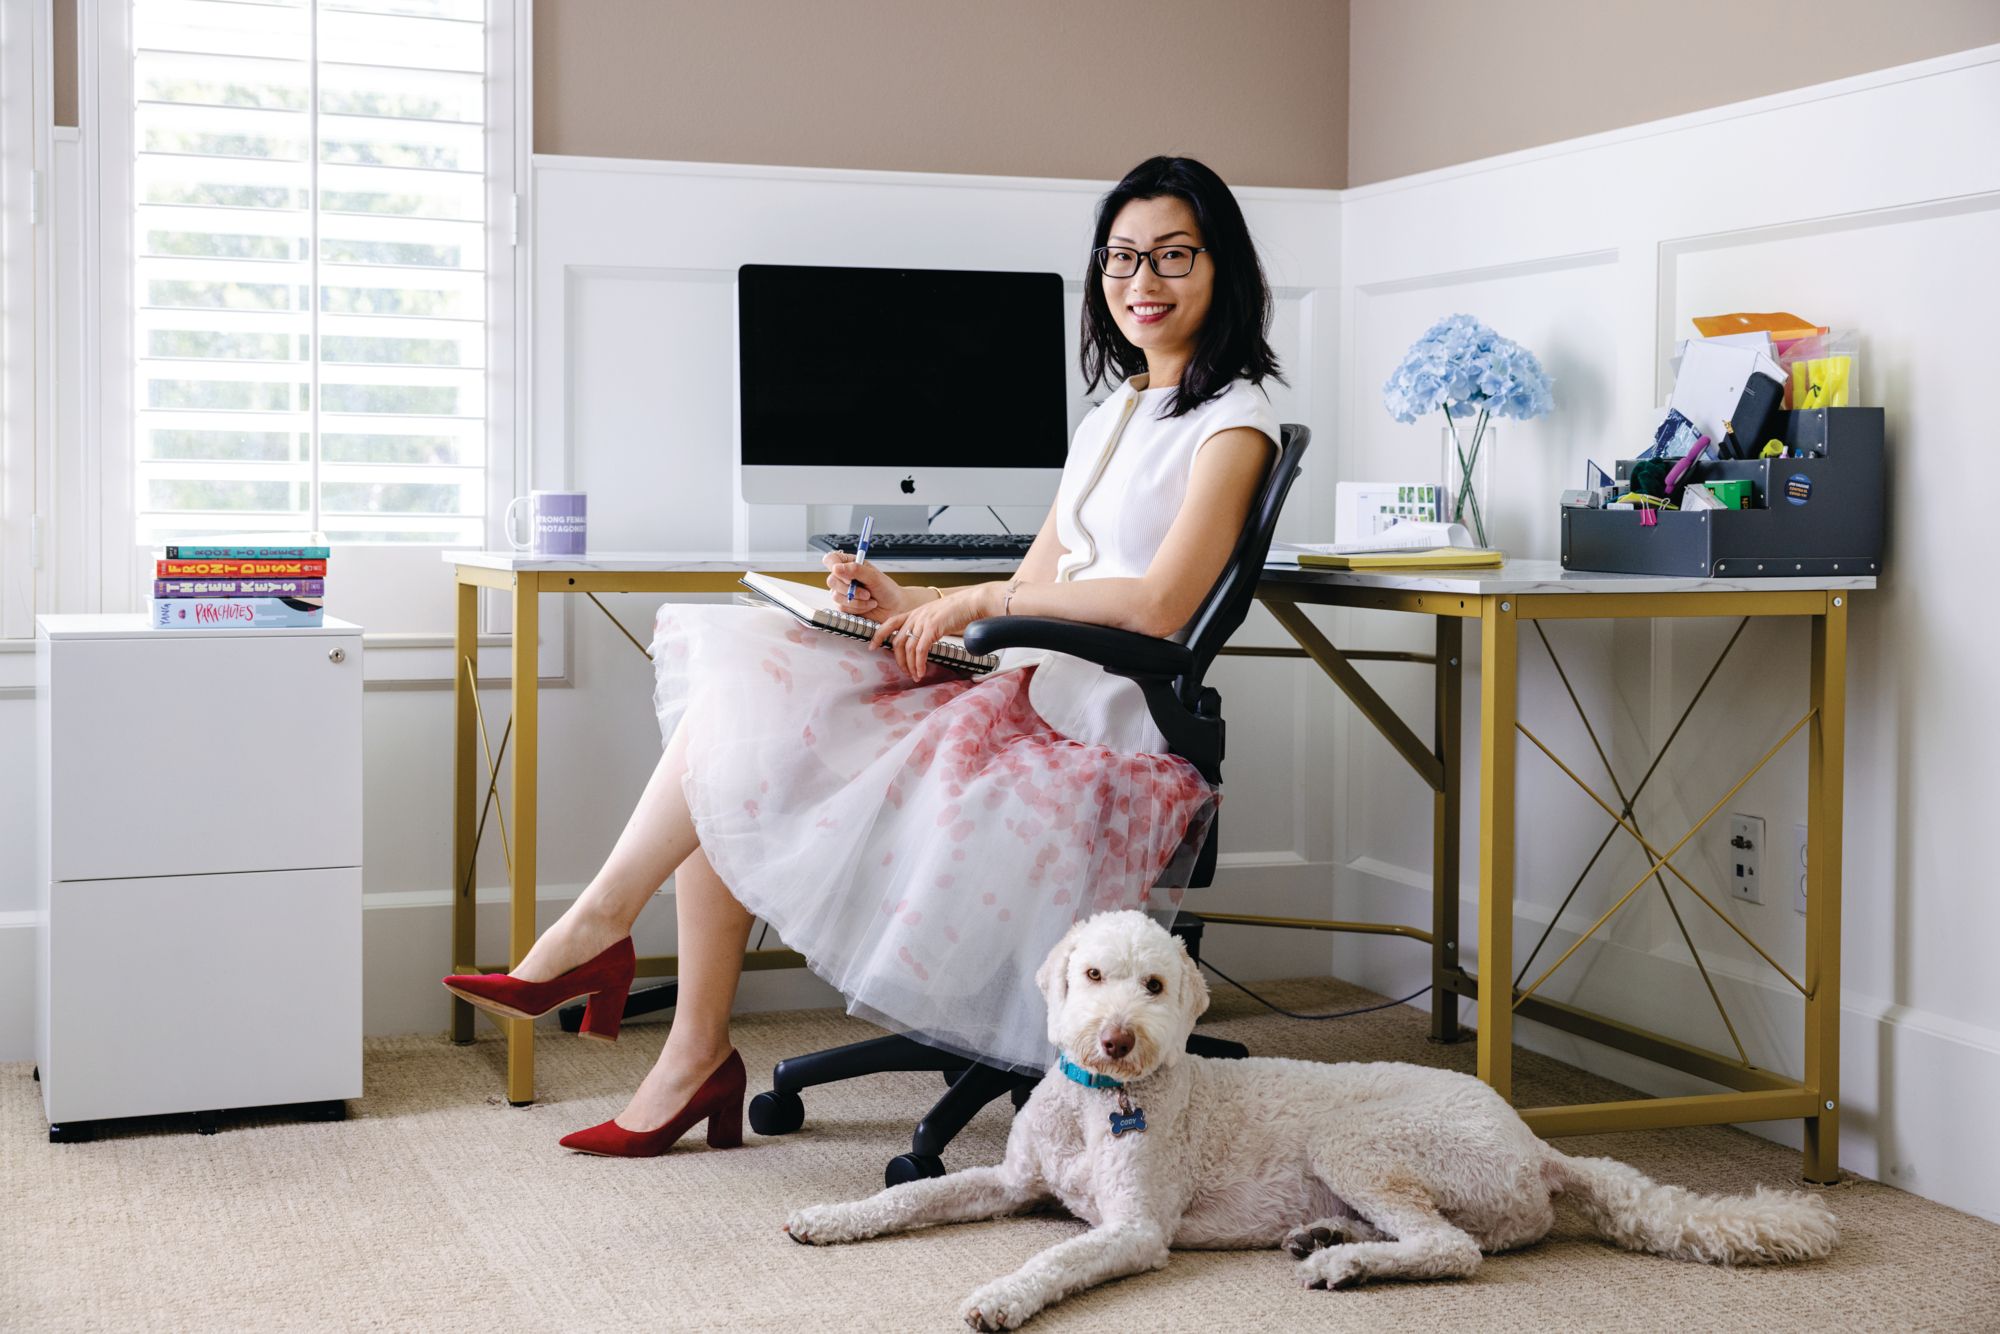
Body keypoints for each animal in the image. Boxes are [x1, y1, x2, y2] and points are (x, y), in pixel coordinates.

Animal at [785, 910, 1838, 1330]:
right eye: (1091, 974)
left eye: (1155, 985)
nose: (1119, 1038)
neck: (1101, 1104)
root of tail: (1536, 1146)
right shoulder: (1012, 1183)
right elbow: (912, 1197)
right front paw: (829, 1219)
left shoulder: (1132, 1230)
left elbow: (1053, 1260)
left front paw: (1002, 1297)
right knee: (1451, 1238)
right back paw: (1327, 1237)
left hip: (1363, 1143)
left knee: (1452, 1249)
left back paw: (1344, 1262)